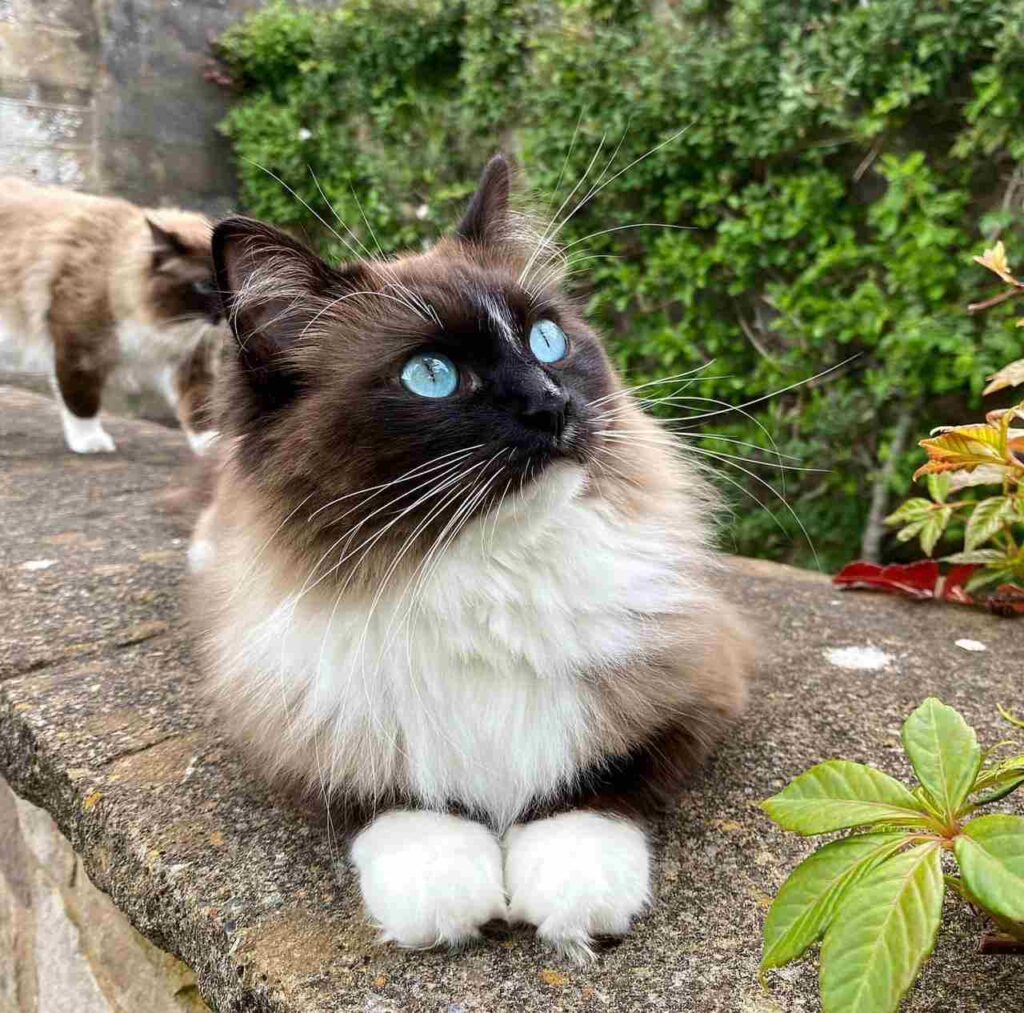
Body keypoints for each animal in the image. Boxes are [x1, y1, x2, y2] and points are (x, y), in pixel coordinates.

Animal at [0, 179, 225, 454]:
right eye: (205, 286)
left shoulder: (191, 360)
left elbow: (200, 407)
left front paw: (214, 449)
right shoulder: (78, 350)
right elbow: (81, 400)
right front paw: (90, 442)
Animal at [192, 155, 753, 954]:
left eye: (547, 341)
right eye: (431, 375)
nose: (552, 406)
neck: (483, 573)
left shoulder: (700, 689)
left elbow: (596, 778)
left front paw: (571, 893)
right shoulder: (286, 730)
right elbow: (389, 796)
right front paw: (446, 895)